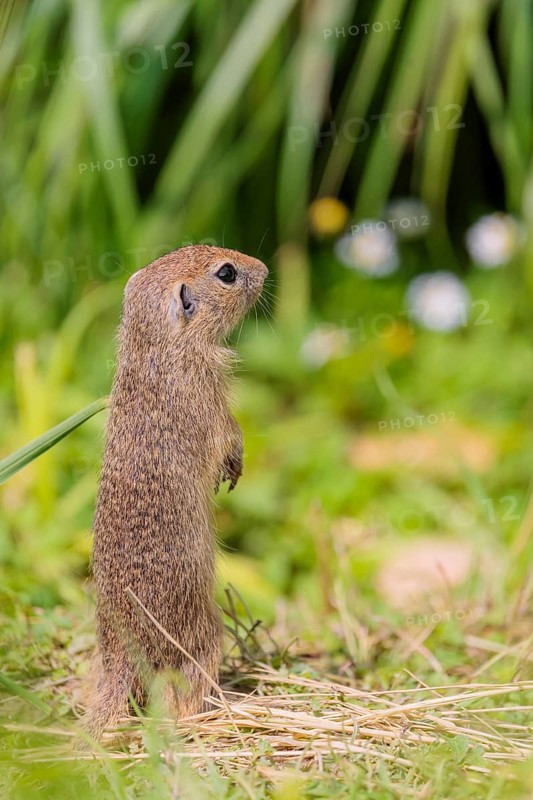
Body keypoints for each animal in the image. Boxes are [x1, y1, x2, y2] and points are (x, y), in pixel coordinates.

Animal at [83, 245, 267, 739]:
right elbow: (228, 436)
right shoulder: (209, 402)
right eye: (227, 273)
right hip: (205, 634)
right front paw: (234, 468)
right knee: (180, 695)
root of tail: (121, 660)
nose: (264, 269)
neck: (158, 350)